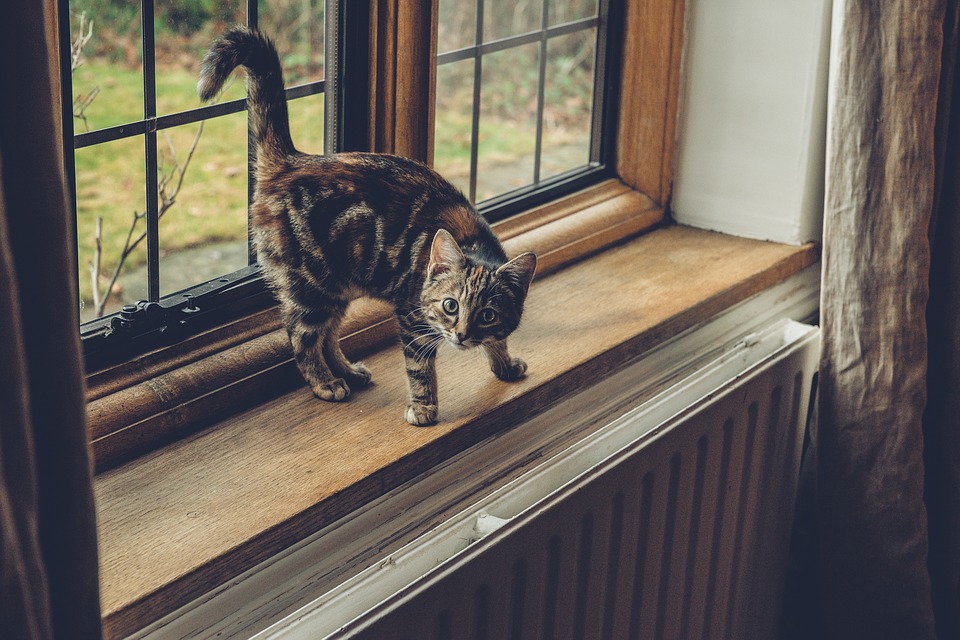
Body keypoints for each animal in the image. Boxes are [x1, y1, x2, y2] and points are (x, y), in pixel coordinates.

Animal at [198, 27, 536, 424]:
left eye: (487, 314)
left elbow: (498, 339)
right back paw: (325, 382)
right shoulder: (411, 318)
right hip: (311, 288)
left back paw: (346, 370)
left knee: (327, 335)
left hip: (334, 287)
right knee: (301, 337)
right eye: (450, 306)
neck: (473, 242)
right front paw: (424, 406)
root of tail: (290, 162)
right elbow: (420, 368)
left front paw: (504, 364)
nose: (462, 335)